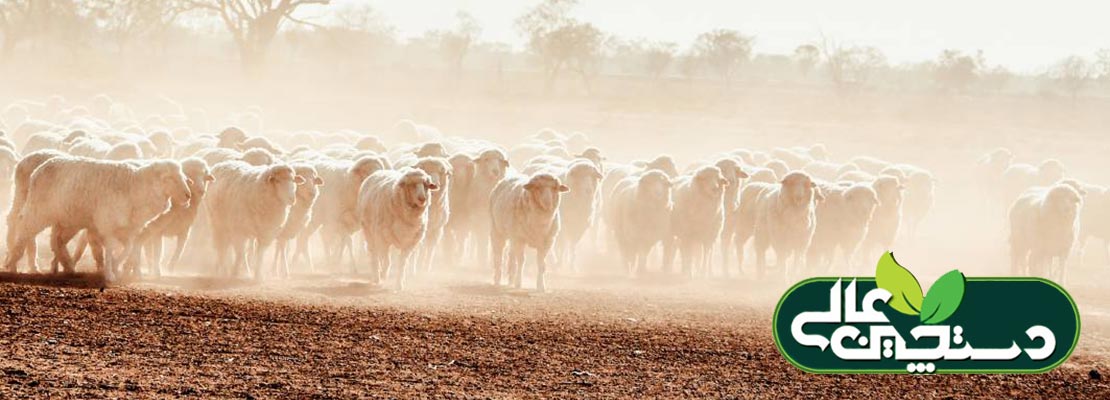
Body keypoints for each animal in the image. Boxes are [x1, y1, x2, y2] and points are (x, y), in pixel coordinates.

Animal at [3, 157, 190, 280]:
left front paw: (116, 266)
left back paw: (68, 266)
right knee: (24, 231)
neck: (135, 187)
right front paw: (110, 274)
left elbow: (128, 249)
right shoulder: (107, 225)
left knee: (57, 241)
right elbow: (109, 249)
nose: (188, 195)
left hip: (69, 219)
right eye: (170, 178)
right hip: (37, 212)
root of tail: (41, 168)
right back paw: (12, 264)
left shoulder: (128, 229)